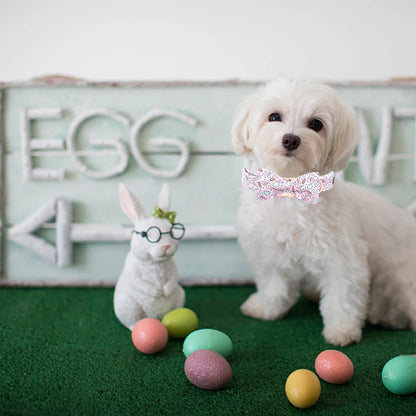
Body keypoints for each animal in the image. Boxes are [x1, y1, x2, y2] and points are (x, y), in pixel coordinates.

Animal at [232, 79, 416, 348]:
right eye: (273, 116)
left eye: (316, 124)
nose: (291, 139)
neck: (290, 193)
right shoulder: (270, 252)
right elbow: (274, 287)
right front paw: (265, 308)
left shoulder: (343, 259)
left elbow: (342, 298)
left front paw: (342, 330)